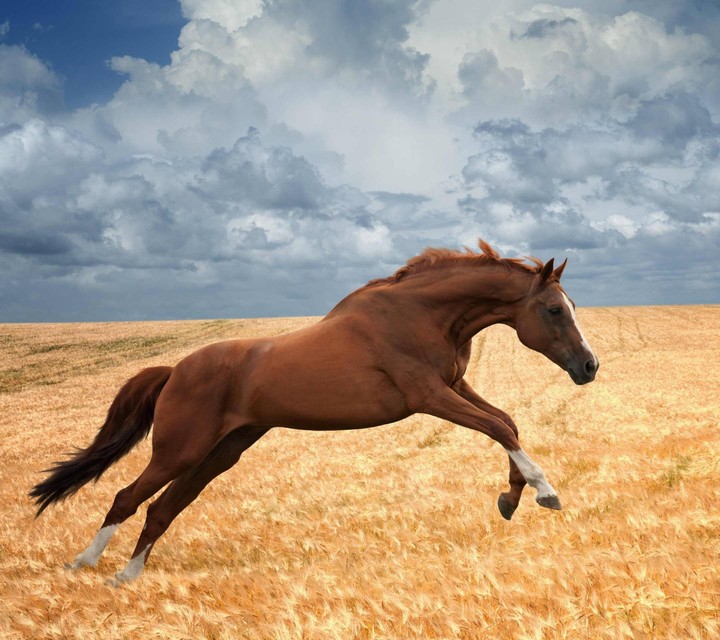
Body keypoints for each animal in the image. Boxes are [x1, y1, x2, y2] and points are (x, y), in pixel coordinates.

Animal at [30, 240, 598, 585]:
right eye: (554, 309)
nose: (589, 367)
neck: (421, 314)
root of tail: (175, 370)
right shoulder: (429, 396)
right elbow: (499, 425)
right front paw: (544, 493)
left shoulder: (455, 386)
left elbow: (508, 422)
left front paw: (510, 498)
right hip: (180, 451)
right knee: (127, 498)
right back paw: (84, 563)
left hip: (221, 453)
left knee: (163, 508)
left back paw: (127, 576)